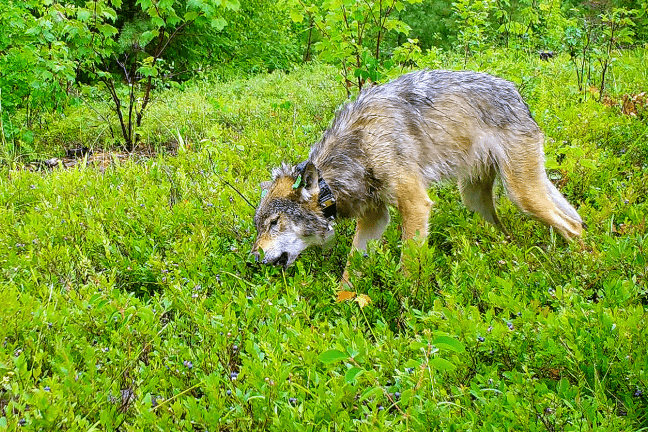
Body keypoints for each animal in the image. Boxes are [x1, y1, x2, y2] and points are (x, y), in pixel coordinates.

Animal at [251, 69, 584, 278]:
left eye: (274, 222)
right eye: (259, 227)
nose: (252, 258)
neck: (359, 148)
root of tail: (516, 93)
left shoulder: (415, 205)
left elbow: (408, 265)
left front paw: (407, 306)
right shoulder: (374, 218)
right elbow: (350, 270)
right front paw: (344, 310)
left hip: (521, 194)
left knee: (573, 226)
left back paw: (582, 266)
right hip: (474, 200)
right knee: (508, 231)